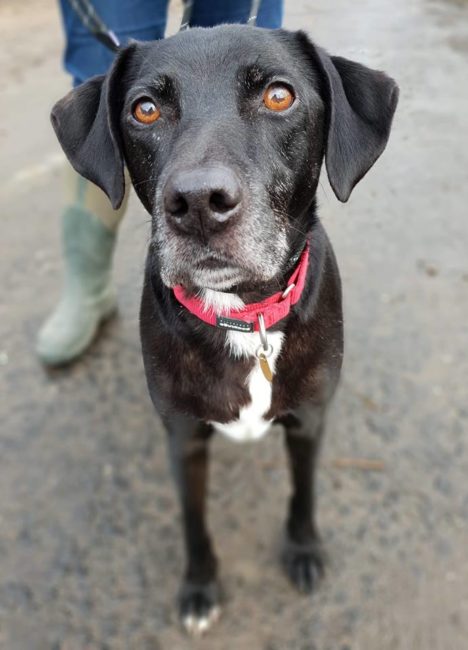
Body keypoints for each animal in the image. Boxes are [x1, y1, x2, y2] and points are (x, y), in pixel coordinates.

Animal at [51, 26, 396, 632]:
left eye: (279, 96)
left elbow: (303, 494)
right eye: (145, 109)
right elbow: (194, 523)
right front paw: (199, 586)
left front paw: (303, 550)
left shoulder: (309, 421)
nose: (197, 203)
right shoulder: (184, 438)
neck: (243, 314)